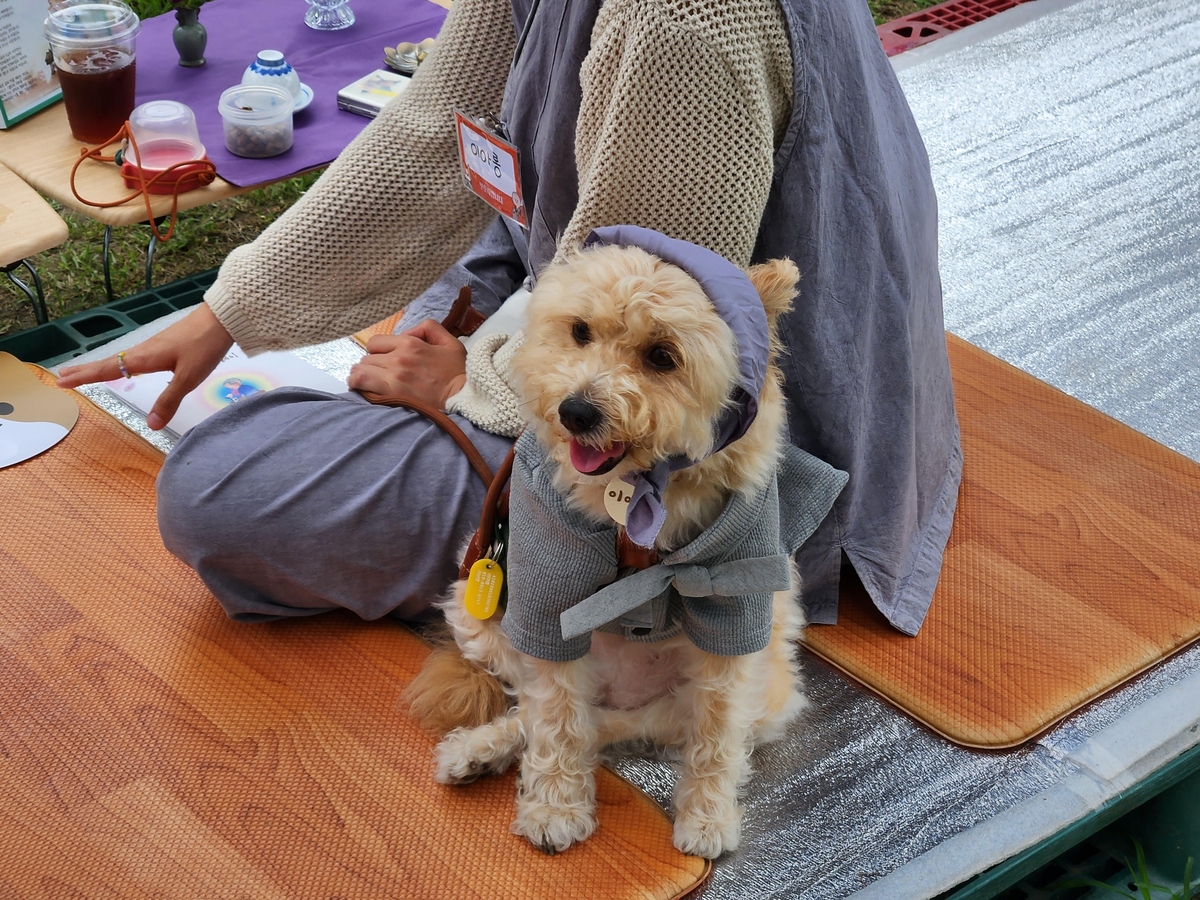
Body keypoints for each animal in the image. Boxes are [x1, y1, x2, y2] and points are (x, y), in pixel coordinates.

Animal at [403, 225, 844, 859]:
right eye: (580, 331)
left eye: (663, 355)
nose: (575, 411)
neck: (638, 494)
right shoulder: (549, 600)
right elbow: (555, 721)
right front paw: (554, 808)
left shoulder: (734, 607)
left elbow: (716, 733)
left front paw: (707, 817)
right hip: (479, 609)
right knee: (552, 712)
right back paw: (476, 751)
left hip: (744, 696)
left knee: (604, 726)